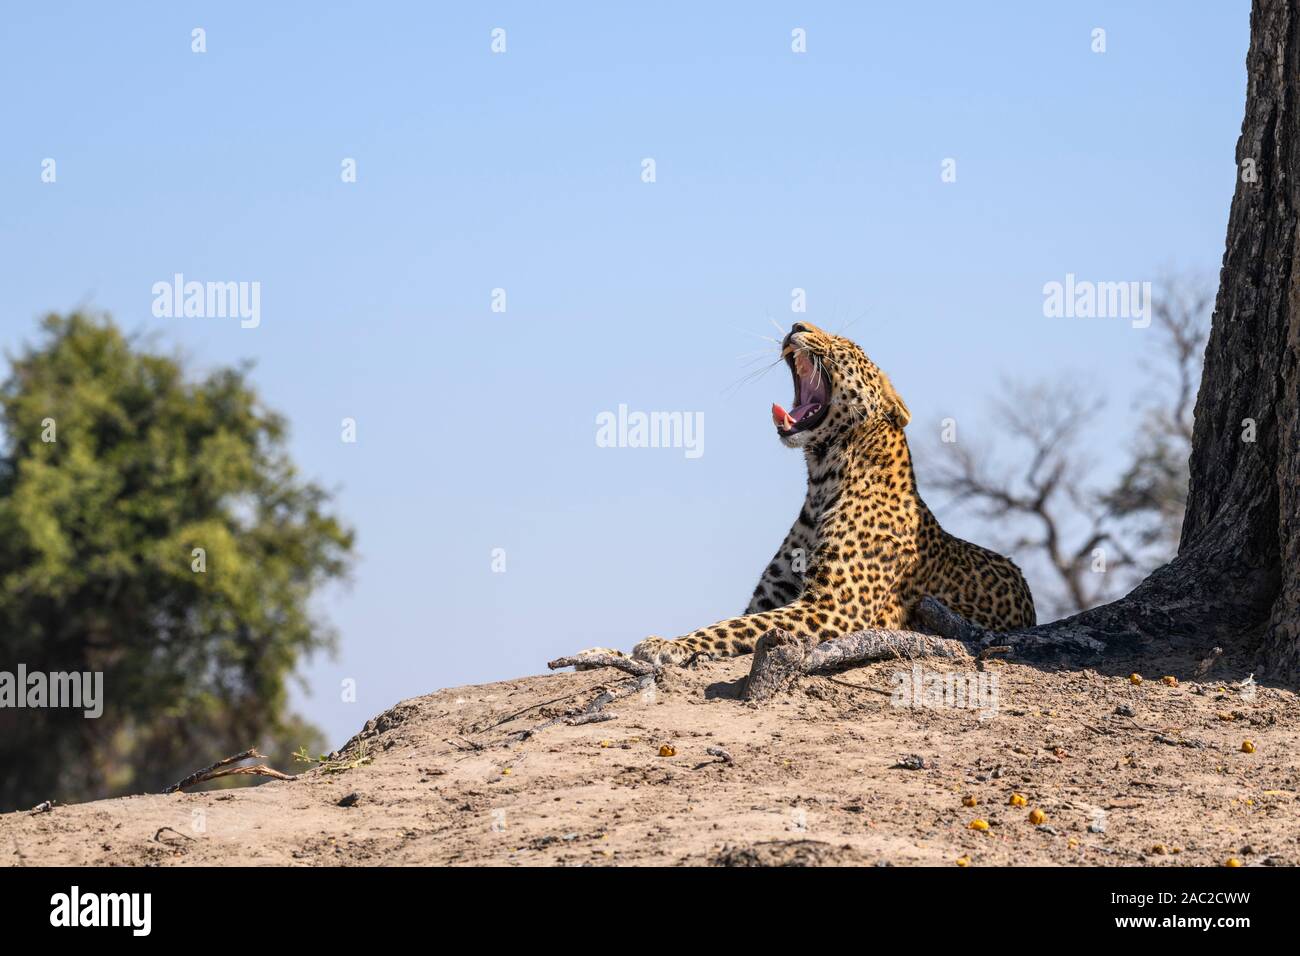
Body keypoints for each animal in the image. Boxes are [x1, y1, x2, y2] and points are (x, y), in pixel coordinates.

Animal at [628, 320, 1036, 667]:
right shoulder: (770, 598)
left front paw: (665, 644)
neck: (822, 481)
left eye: (846, 344)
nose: (797, 325)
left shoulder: (831, 608)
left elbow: (732, 626)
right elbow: (739, 620)